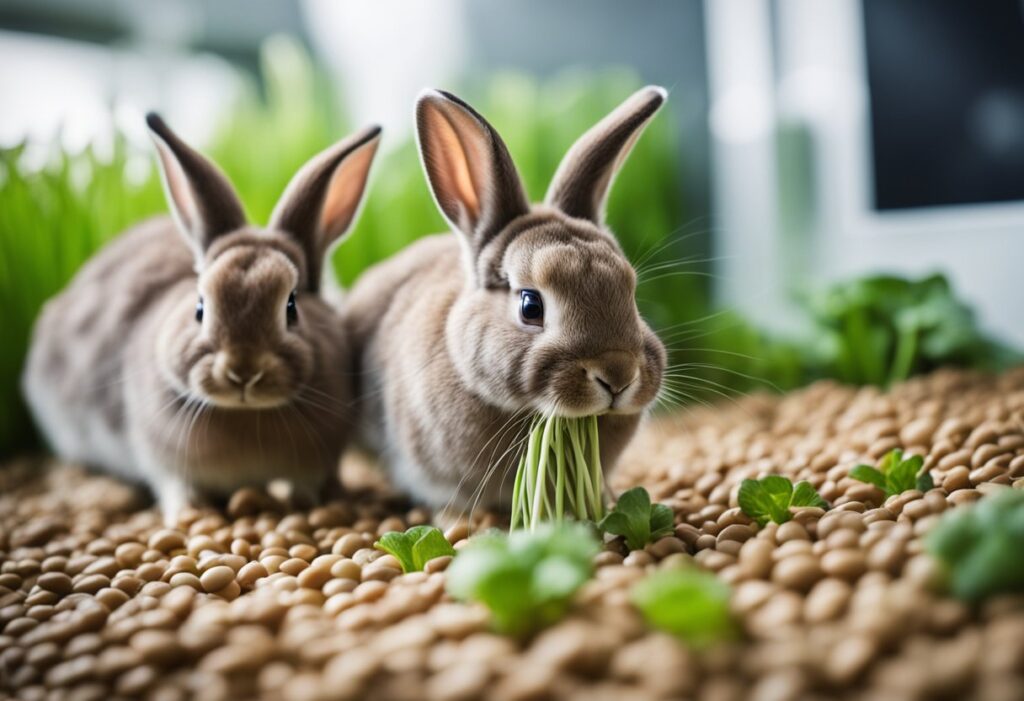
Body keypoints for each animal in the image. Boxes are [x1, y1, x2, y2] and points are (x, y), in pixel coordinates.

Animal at [24, 112, 385, 521]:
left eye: (291, 307)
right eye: (199, 308)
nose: (243, 372)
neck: (247, 415)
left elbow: (304, 485)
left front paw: (306, 503)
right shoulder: (165, 464)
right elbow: (176, 487)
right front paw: (188, 514)